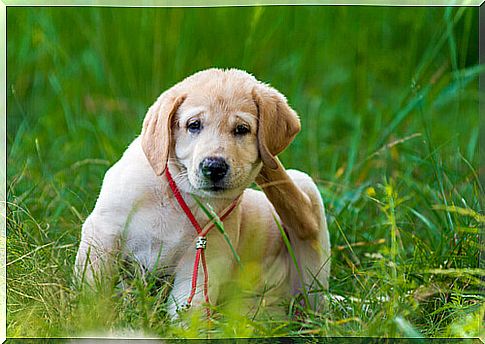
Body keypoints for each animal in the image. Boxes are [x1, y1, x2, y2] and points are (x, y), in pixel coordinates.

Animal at [75, 68, 330, 318]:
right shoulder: (104, 231)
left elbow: (189, 313)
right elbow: (93, 285)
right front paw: (91, 316)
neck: (180, 193)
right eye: (194, 125)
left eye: (242, 129)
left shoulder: (202, 261)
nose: (214, 167)